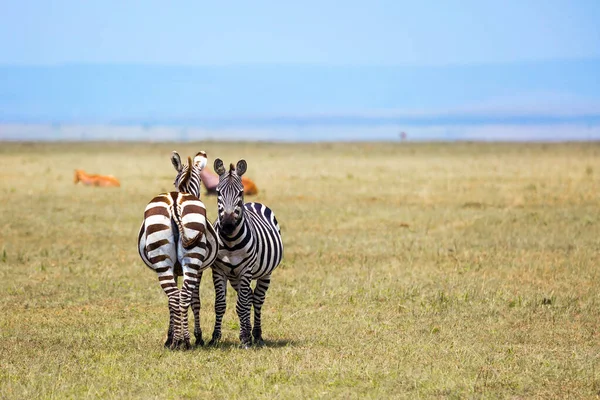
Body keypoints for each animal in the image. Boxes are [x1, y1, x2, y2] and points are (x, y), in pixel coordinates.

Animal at [137, 152, 219, 348]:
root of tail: (175, 201)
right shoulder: (199, 271)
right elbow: (195, 301)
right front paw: (197, 336)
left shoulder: (175, 270)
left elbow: (171, 302)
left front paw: (170, 336)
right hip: (191, 261)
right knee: (184, 296)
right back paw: (186, 340)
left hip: (163, 262)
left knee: (175, 297)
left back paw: (177, 341)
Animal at [207, 158, 282, 348]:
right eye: (218, 192)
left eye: (240, 193)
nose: (227, 225)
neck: (231, 241)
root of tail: (253, 203)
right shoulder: (218, 271)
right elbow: (220, 304)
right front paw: (215, 338)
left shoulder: (246, 270)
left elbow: (242, 305)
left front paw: (245, 339)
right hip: (235, 277)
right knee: (249, 297)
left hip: (264, 273)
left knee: (257, 300)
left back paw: (256, 335)